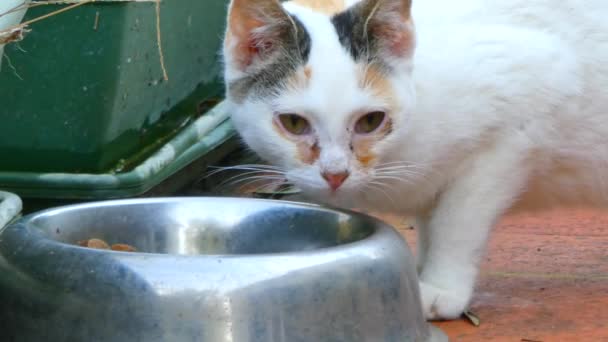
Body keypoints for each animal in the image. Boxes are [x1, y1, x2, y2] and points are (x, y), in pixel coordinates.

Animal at [221, 0, 608, 320]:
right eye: (294, 123)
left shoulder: (515, 134)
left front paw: (441, 287)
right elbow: (429, 222)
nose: (335, 174)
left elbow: (456, 224)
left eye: (370, 121)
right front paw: (416, 272)